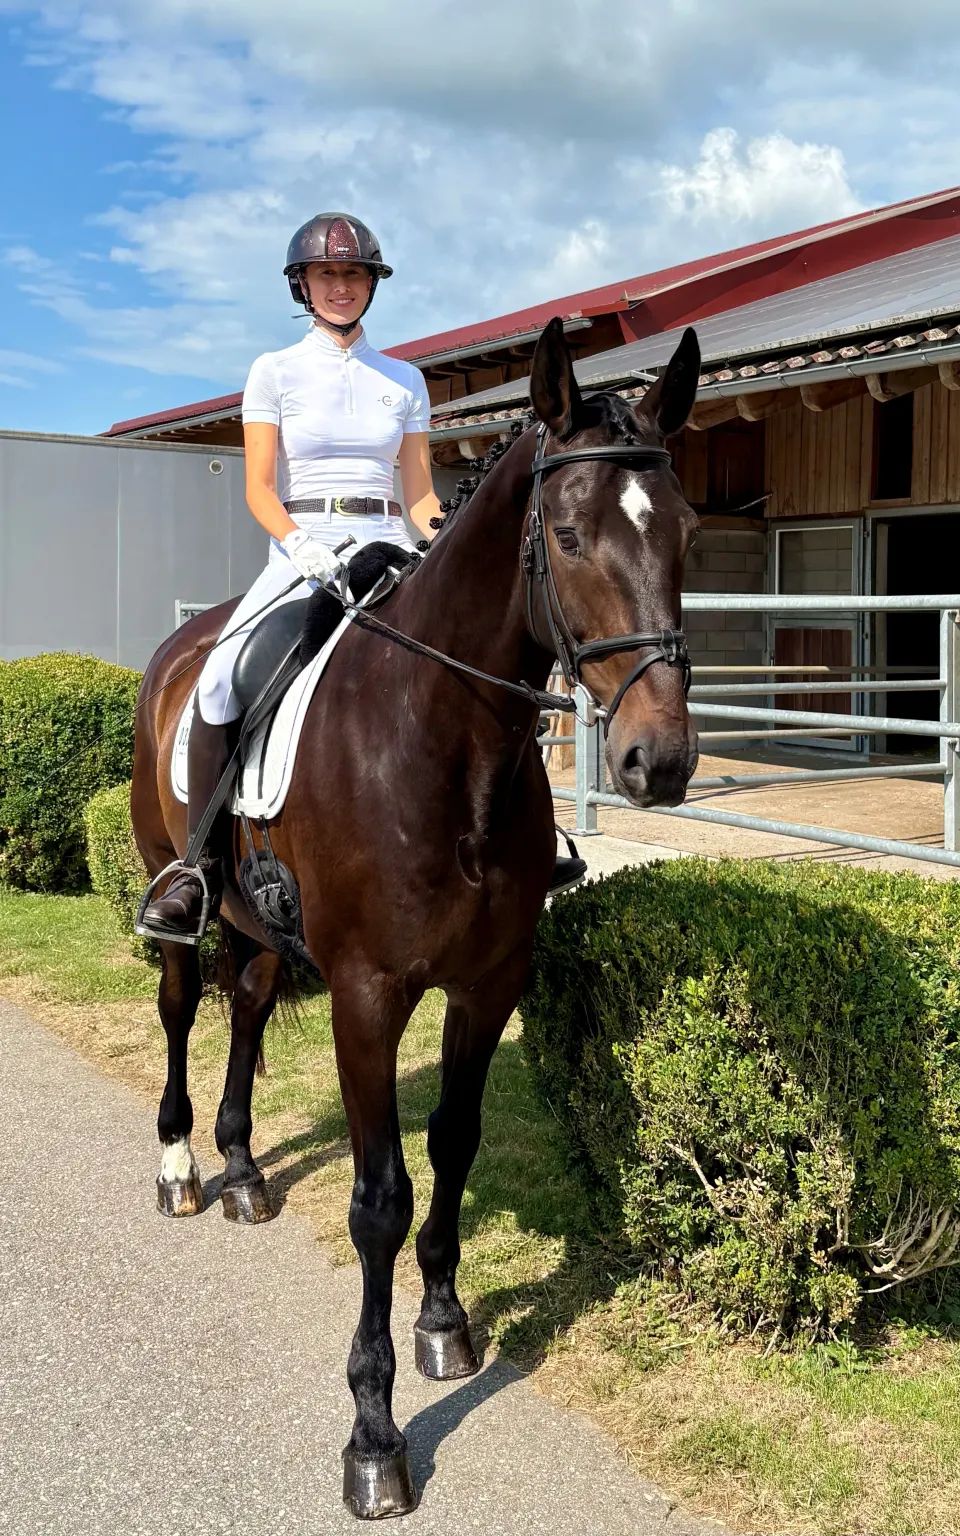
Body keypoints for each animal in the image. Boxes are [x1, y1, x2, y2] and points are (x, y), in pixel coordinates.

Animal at [130, 316, 701, 1519]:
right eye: (567, 535)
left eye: (684, 530)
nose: (660, 762)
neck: (446, 743)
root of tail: (179, 650)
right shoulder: (368, 994)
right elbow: (379, 1200)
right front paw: (374, 1434)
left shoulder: (489, 982)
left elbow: (455, 1141)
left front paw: (444, 1320)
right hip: (176, 888)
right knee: (182, 1008)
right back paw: (182, 1170)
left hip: (265, 927)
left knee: (248, 1004)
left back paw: (244, 1171)